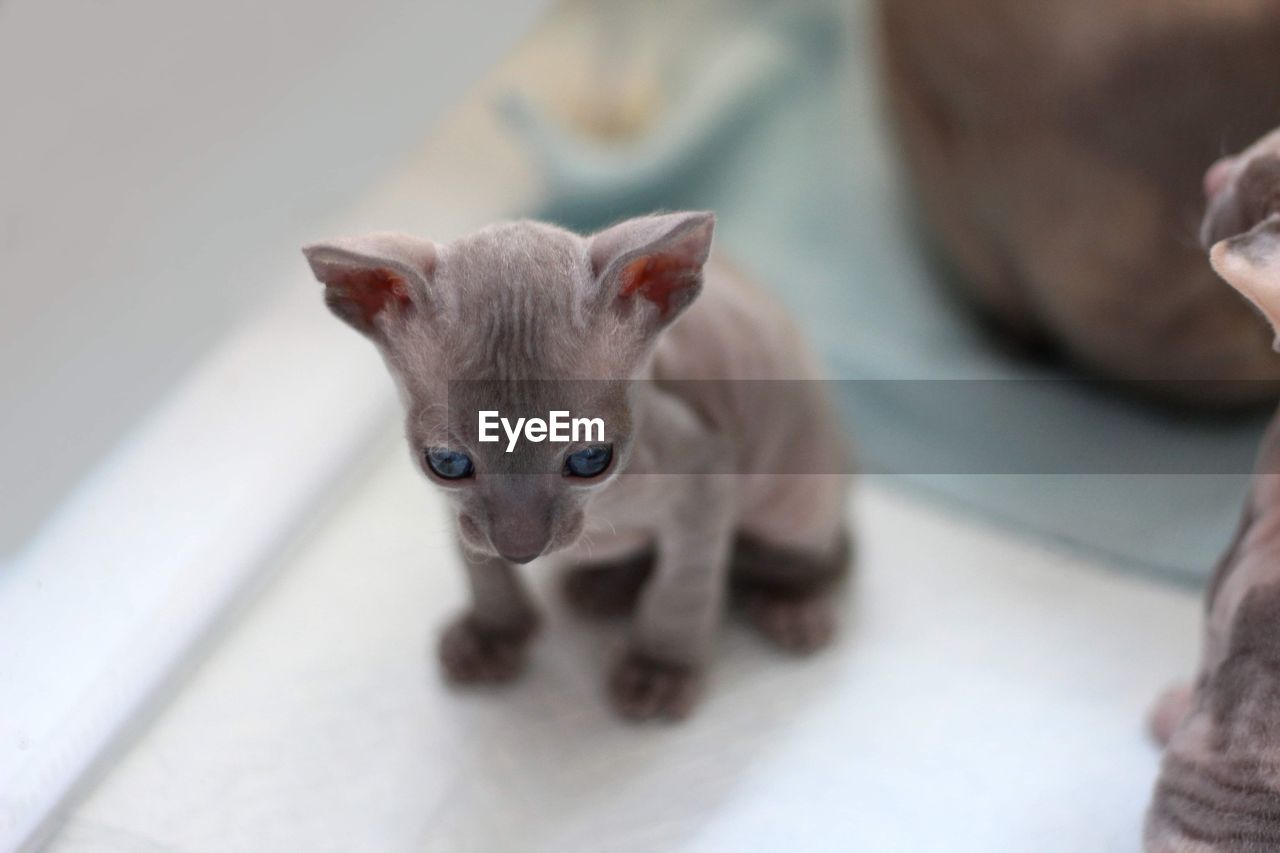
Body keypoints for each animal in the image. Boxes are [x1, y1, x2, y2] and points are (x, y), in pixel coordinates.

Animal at [304, 212, 855, 717]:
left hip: (797, 494)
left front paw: (660, 668)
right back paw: (604, 585)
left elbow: (682, 588)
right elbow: (477, 562)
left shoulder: (706, 474)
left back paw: (789, 601)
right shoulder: (460, 508)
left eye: (591, 458)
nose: (521, 550)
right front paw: (494, 633)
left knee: (825, 555)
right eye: (448, 463)